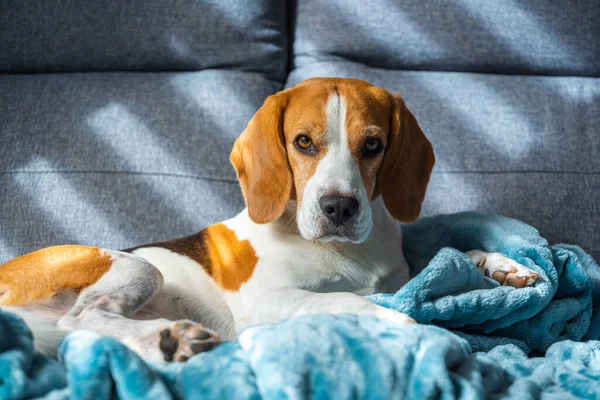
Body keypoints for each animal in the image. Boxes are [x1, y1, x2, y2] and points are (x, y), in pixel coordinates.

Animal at [0, 77, 540, 362]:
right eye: (303, 142)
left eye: (373, 145)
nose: (339, 208)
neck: (342, 250)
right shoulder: (269, 300)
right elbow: (348, 300)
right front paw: (405, 324)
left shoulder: (402, 275)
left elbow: (447, 256)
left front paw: (501, 265)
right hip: (135, 266)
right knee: (83, 317)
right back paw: (172, 336)